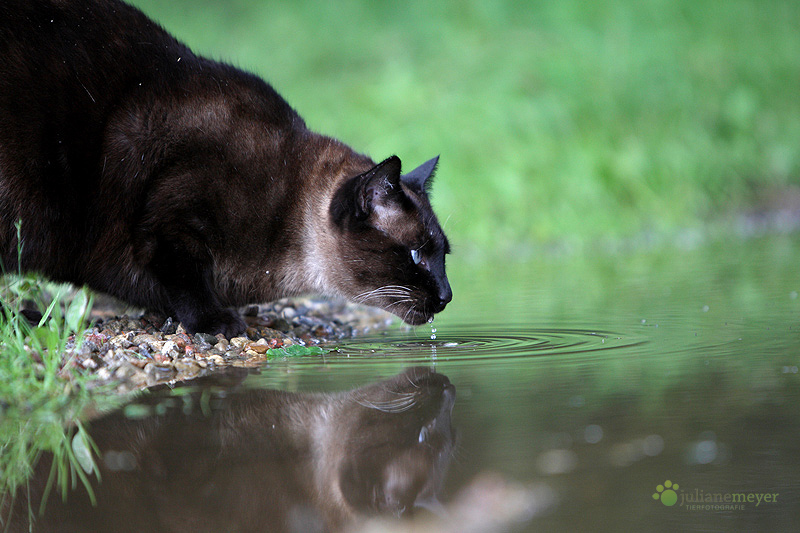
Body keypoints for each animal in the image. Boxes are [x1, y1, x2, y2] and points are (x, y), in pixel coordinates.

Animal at [0, 0, 450, 336]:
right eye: (416, 254)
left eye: (442, 255)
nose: (447, 295)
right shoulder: (170, 222)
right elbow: (186, 281)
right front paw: (217, 323)